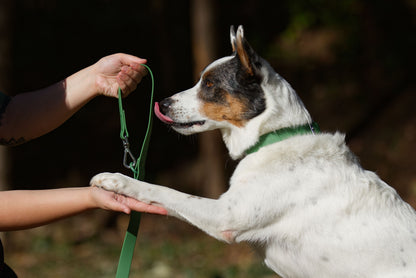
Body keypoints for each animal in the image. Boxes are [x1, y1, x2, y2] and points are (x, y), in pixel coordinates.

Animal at [91, 25, 416, 276]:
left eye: (210, 84)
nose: (164, 103)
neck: (272, 138)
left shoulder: (225, 216)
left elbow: (165, 191)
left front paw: (116, 180)